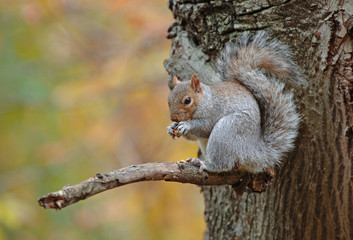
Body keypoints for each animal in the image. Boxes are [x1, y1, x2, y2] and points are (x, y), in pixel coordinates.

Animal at [166, 31, 304, 172]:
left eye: (188, 100)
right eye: (168, 100)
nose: (173, 118)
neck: (205, 100)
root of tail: (252, 150)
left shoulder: (213, 111)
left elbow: (204, 127)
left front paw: (186, 125)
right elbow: (193, 137)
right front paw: (171, 127)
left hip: (227, 131)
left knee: (223, 164)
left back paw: (205, 164)